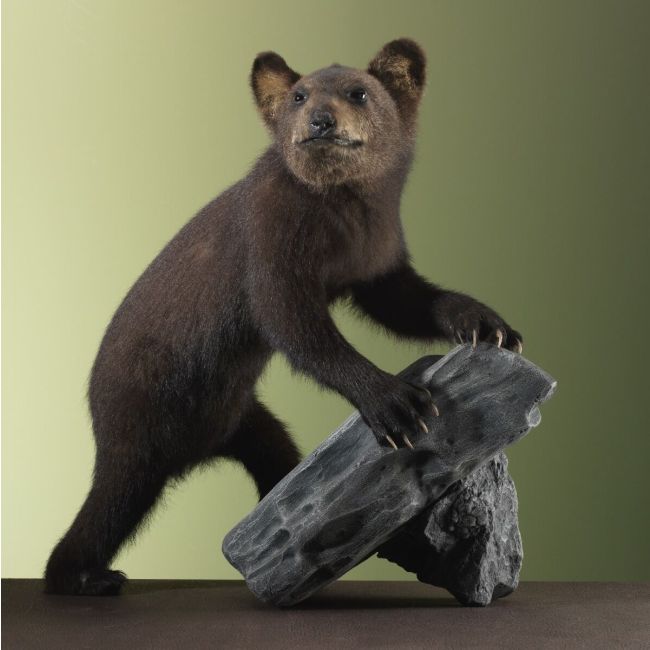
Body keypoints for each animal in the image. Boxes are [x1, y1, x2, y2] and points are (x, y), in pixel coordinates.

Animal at [44, 38, 523, 596]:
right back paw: (86, 576)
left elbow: (401, 300)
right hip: (140, 412)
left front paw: (488, 324)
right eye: (299, 95)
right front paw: (395, 404)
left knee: (277, 458)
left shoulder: (376, 249)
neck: (342, 212)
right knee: (113, 500)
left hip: (242, 417)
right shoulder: (271, 239)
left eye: (358, 92)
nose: (320, 121)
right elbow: (292, 321)